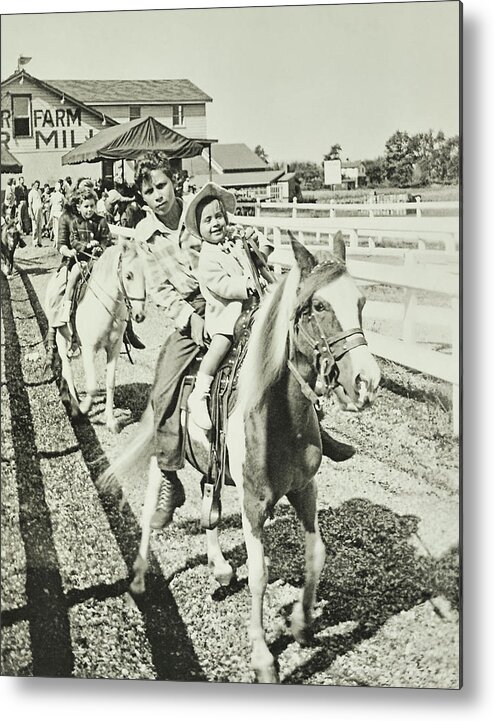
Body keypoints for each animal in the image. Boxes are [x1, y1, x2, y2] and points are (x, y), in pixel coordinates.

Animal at [99, 235, 378, 680]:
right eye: (319, 305)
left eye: (361, 302)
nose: (367, 381)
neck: (279, 414)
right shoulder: (253, 503)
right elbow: (260, 575)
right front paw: (263, 656)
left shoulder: (305, 489)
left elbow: (316, 554)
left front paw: (301, 622)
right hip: (163, 447)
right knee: (153, 503)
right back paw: (141, 575)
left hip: (210, 465)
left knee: (207, 507)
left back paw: (219, 566)